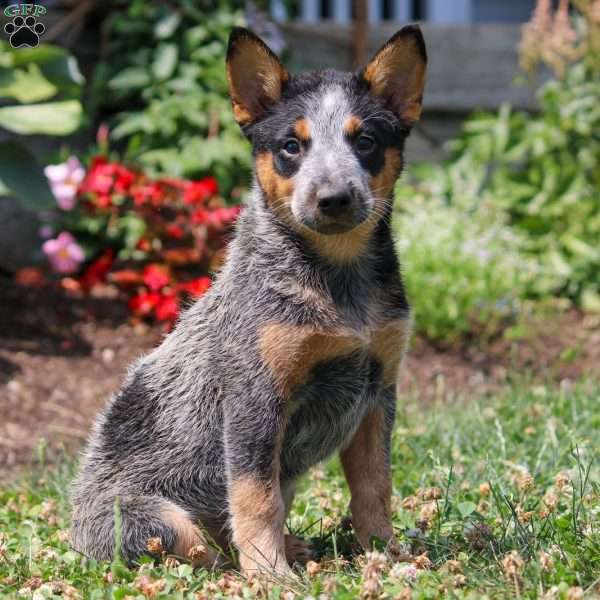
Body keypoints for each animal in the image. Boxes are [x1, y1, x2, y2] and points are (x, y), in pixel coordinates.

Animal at [70, 23, 426, 576]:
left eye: (365, 140)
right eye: (290, 146)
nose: (333, 199)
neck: (340, 280)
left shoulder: (377, 393)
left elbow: (375, 488)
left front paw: (385, 555)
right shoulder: (254, 399)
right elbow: (257, 497)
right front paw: (269, 574)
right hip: (155, 522)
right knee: (203, 547)